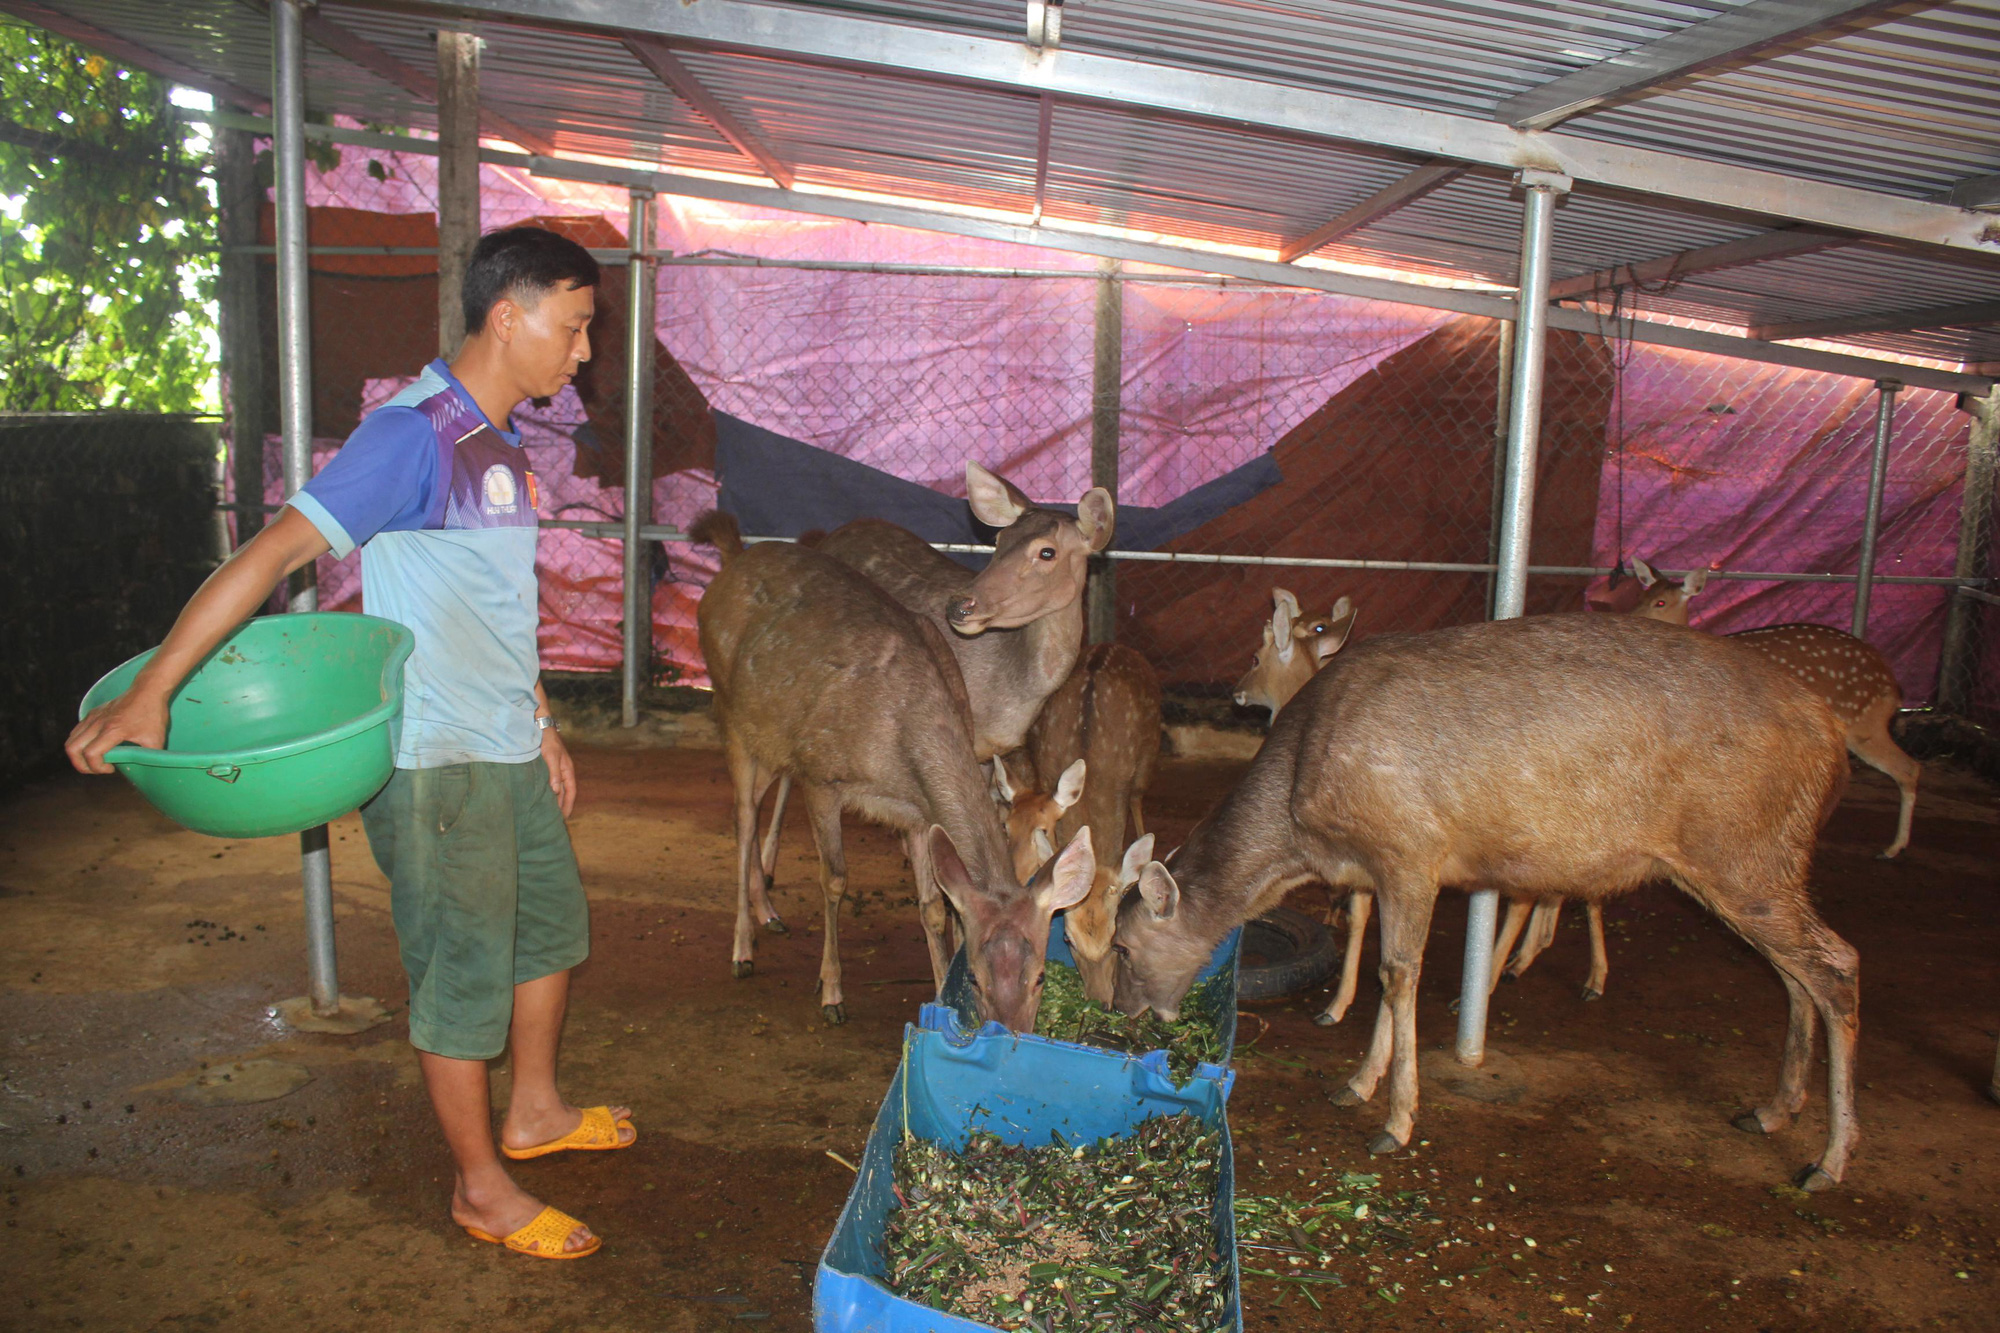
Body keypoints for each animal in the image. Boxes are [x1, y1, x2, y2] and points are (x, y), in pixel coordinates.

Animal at [688, 508, 1096, 1024]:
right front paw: (831, 991)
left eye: (1040, 975)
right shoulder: (822, 774)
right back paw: (743, 947)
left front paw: (938, 987)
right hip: (731, 713)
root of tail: (729, 565)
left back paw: (768, 913)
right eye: (976, 979)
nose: (1010, 1033)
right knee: (742, 820)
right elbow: (835, 879)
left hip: (771, 737)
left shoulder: (918, 811)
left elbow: (934, 904)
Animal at [744, 462, 1112, 928]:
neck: (1011, 695)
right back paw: (766, 891)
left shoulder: (992, 751)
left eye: (1047, 552)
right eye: (998, 541)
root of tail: (827, 537)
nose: (961, 605)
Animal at [992, 640, 1168, 996]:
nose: (1101, 1001)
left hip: (1147, 755)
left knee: (1138, 800)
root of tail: (1111, 644)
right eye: (1067, 939)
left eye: (1116, 939)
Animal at [1112, 608, 1856, 1184]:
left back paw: (1829, 1159)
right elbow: (1389, 968)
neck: (1300, 829)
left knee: (1837, 965)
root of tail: (1834, 740)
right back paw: (1773, 1108)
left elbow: (1398, 973)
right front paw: (1358, 1083)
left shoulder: (1410, 847)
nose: (1121, 1011)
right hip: (1764, 862)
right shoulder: (1392, 866)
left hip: (1743, 851)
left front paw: (1396, 1119)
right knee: (1795, 975)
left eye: (1121, 946)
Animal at [1640, 556, 1920, 856]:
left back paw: (1892, 848)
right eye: (1643, 593)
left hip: (1865, 723)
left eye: (1661, 602)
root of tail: (1892, 683)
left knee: (1907, 769)